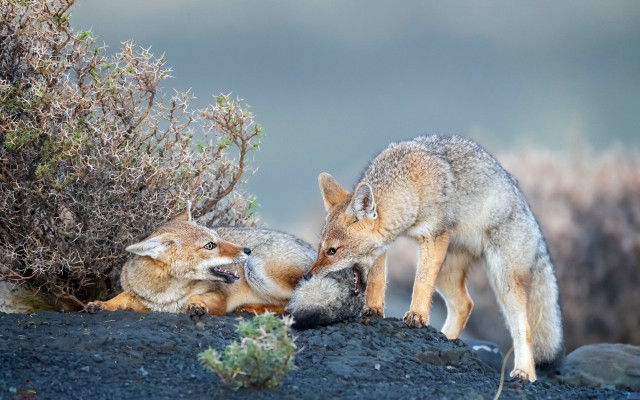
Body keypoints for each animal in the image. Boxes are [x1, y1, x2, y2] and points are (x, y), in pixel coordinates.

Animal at [85, 215, 315, 317]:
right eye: (210, 245)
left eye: (217, 238)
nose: (247, 250)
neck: (167, 292)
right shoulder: (145, 301)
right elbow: (120, 298)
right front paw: (100, 304)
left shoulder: (219, 299)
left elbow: (196, 298)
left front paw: (196, 305)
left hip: (256, 270)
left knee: (292, 304)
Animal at [305, 135, 563, 382]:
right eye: (320, 248)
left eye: (332, 251)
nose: (307, 276)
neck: (411, 186)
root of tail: (527, 210)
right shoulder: (384, 247)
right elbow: (378, 279)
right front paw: (373, 310)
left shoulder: (433, 237)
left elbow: (420, 282)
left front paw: (417, 316)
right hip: (447, 275)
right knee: (465, 305)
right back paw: (446, 339)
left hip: (503, 281)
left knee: (524, 328)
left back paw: (525, 373)